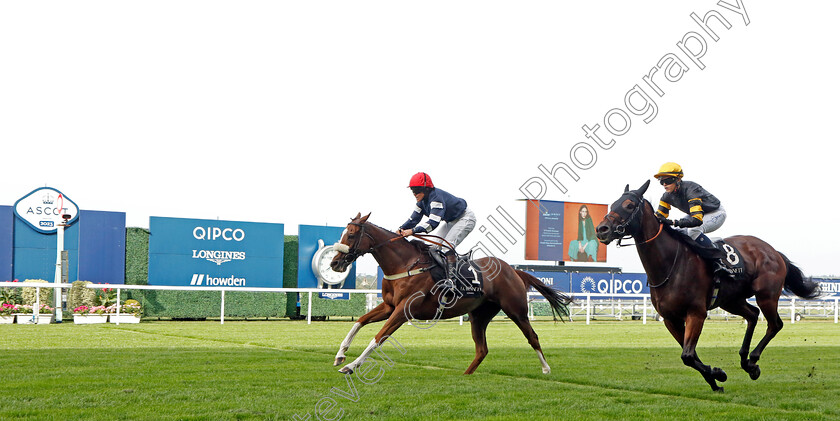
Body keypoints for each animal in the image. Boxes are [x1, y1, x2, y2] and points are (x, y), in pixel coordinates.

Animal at [328, 213, 572, 374]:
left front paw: (351, 365)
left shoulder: (404, 310)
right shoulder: (389, 306)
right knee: (482, 349)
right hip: (479, 316)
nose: (334, 263)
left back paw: (546, 369)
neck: (404, 264)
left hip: (516, 310)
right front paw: (340, 354)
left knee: (533, 337)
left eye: (351, 235)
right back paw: (465, 375)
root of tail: (513, 270)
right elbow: (359, 321)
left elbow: (378, 337)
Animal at [596, 180, 820, 390]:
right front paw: (715, 379)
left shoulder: (696, 313)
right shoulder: (670, 319)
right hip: (731, 300)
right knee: (753, 315)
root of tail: (773, 251)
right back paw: (745, 361)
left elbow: (687, 355)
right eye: (612, 204)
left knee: (775, 324)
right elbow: (690, 355)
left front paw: (718, 374)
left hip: (767, 295)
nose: (601, 229)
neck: (671, 264)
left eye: (629, 205)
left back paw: (753, 362)